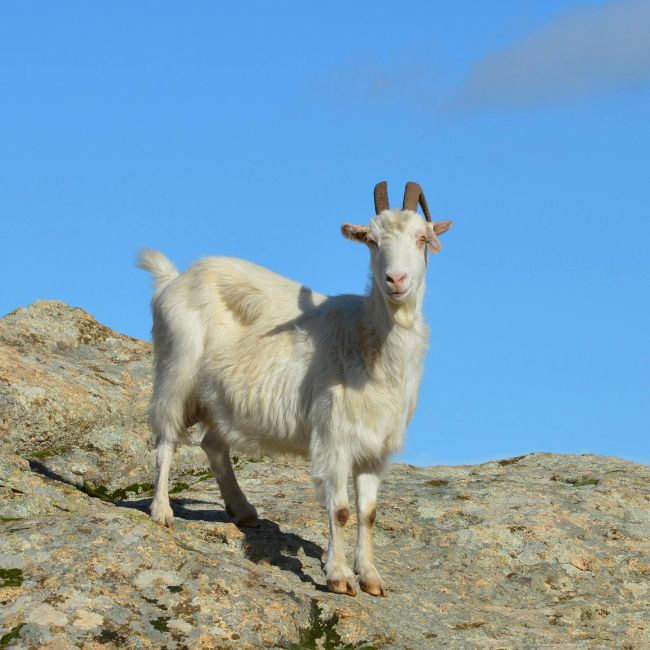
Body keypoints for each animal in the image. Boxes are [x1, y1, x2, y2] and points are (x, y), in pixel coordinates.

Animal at [137, 181, 452, 597]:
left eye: (422, 238)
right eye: (371, 240)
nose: (396, 280)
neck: (368, 341)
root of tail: (173, 278)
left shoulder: (375, 446)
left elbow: (368, 513)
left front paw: (371, 577)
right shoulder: (334, 436)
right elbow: (341, 510)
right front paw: (339, 576)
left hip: (218, 397)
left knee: (213, 445)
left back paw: (244, 511)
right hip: (176, 368)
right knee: (166, 436)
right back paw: (162, 512)